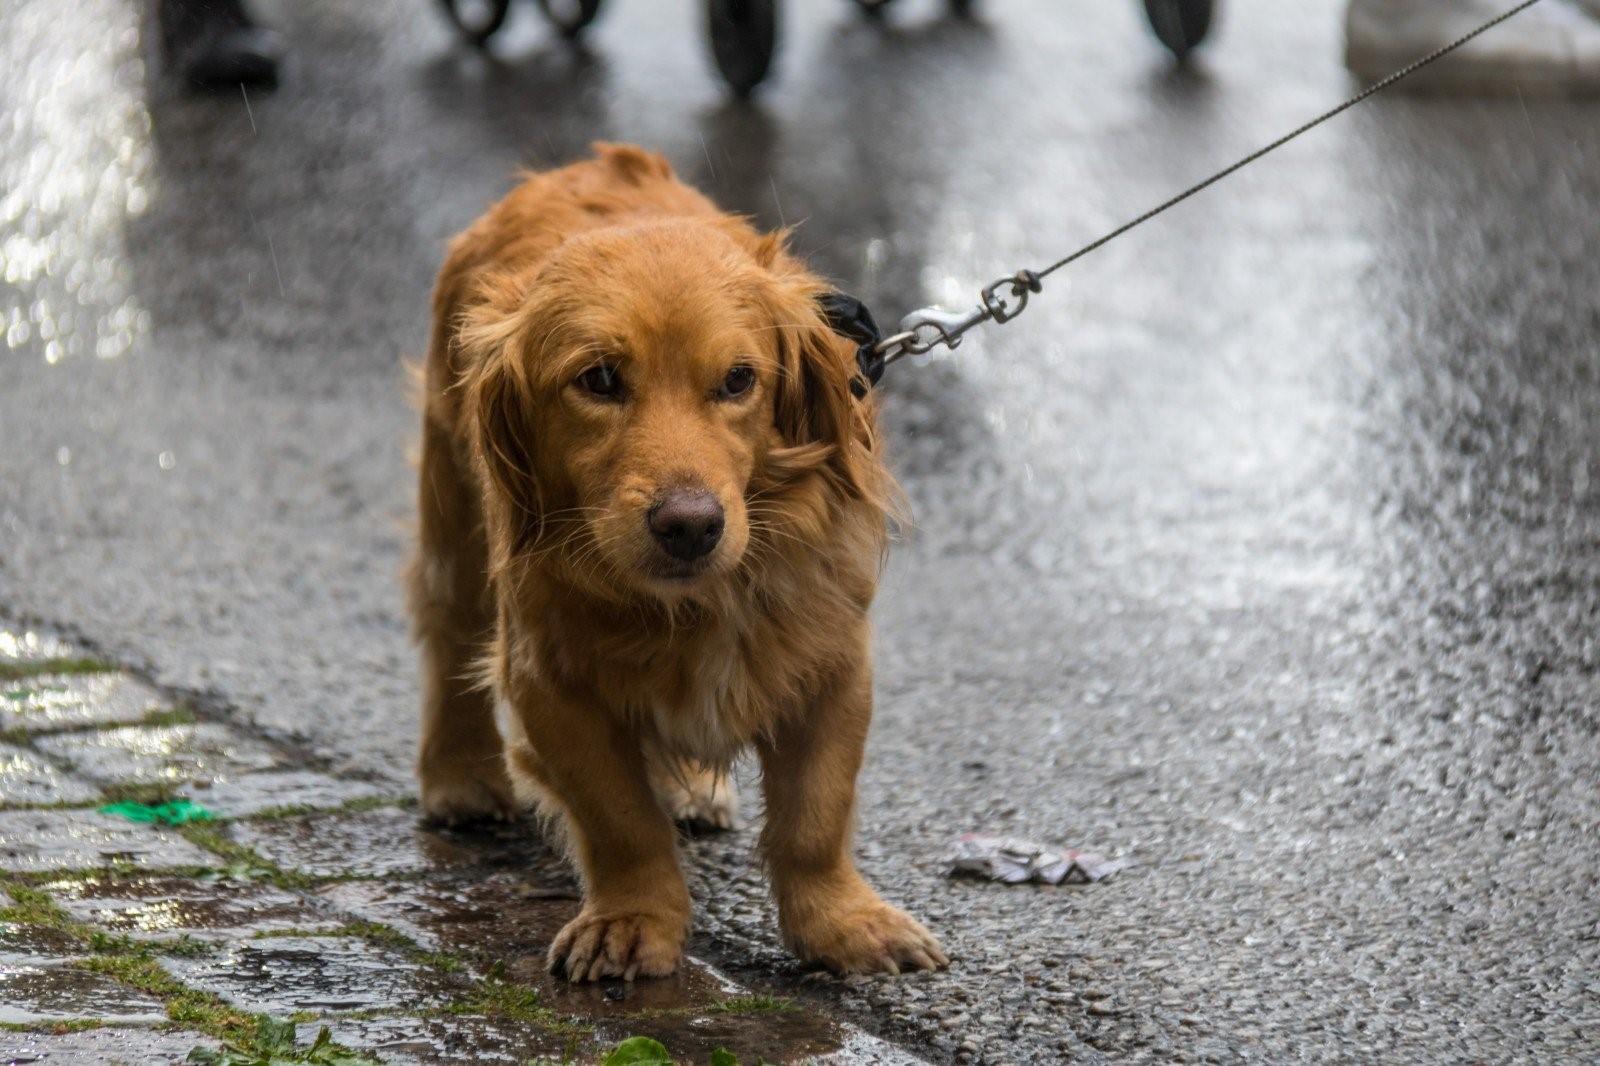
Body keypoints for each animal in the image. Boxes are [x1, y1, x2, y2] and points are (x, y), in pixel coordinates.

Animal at [406, 143, 947, 979]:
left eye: (738, 379)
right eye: (599, 379)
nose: (689, 526)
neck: (698, 602)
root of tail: (594, 163)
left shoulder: (831, 666)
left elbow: (815, 816)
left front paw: (841, 924)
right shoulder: (550, 681)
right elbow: (621, 818)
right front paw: (634, 920)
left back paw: (693, 785)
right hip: (454, 519)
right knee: (448, 636)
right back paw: (459, 773)